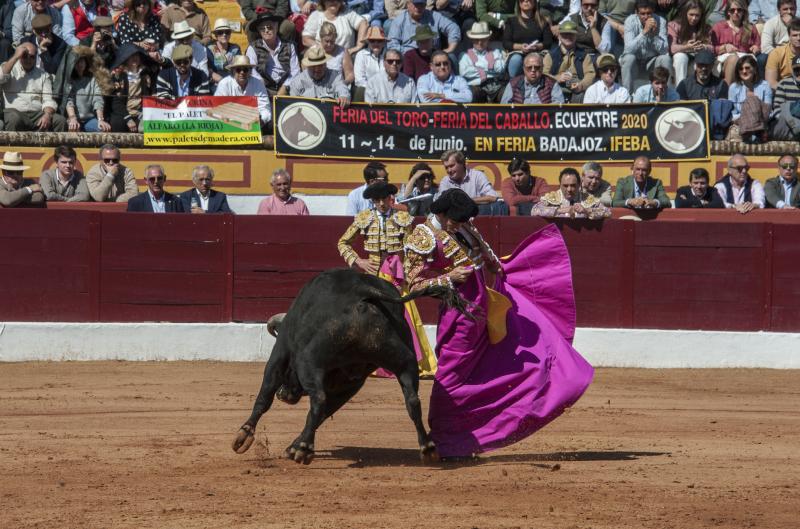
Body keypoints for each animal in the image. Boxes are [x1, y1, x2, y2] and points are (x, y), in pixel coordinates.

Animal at [230, 268, 468, 462]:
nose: (284, 395)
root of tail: (364, 294)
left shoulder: (280, 354)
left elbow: (264, 397)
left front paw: (243, 437)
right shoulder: (350, 384)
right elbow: (323, 413)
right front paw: (293, 446)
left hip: (310, 360)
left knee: (318, 399)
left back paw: (304, 450)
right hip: (403, 362)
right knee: (412, 400)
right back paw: (427, 447)